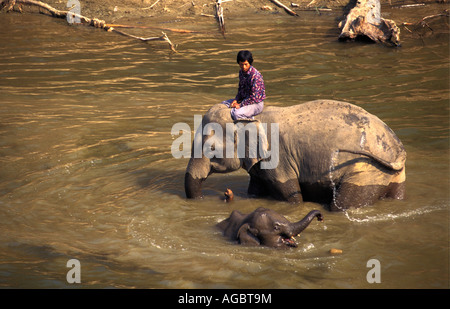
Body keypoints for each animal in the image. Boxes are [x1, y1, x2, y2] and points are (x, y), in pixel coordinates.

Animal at [185, 100, 406, 211]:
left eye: (211, 148)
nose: (225, 195)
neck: (252, 117)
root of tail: (398, 150)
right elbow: (254, 191)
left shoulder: (278, 158)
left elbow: (292, 197)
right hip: (390, 175)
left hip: (366, 170)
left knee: (343, 205)